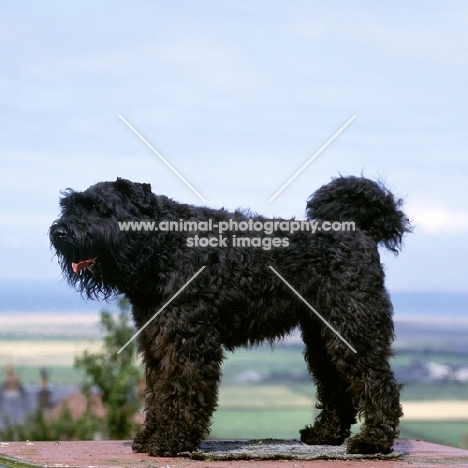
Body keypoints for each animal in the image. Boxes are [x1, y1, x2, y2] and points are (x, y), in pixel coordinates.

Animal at [49, 175, 412, 454]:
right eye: (70, 206)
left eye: (99, 209)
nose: (59, 232)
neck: (164, 246)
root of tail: (361, 231)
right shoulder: (157, 339)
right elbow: (159, 389)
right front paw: (151, 435)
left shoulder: (186, 339)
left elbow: (181, 387)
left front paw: (170, 440)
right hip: (322, 339)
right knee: (337, 385)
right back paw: (326, 434)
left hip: (352, 329)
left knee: (377, 382)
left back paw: (374, 442)